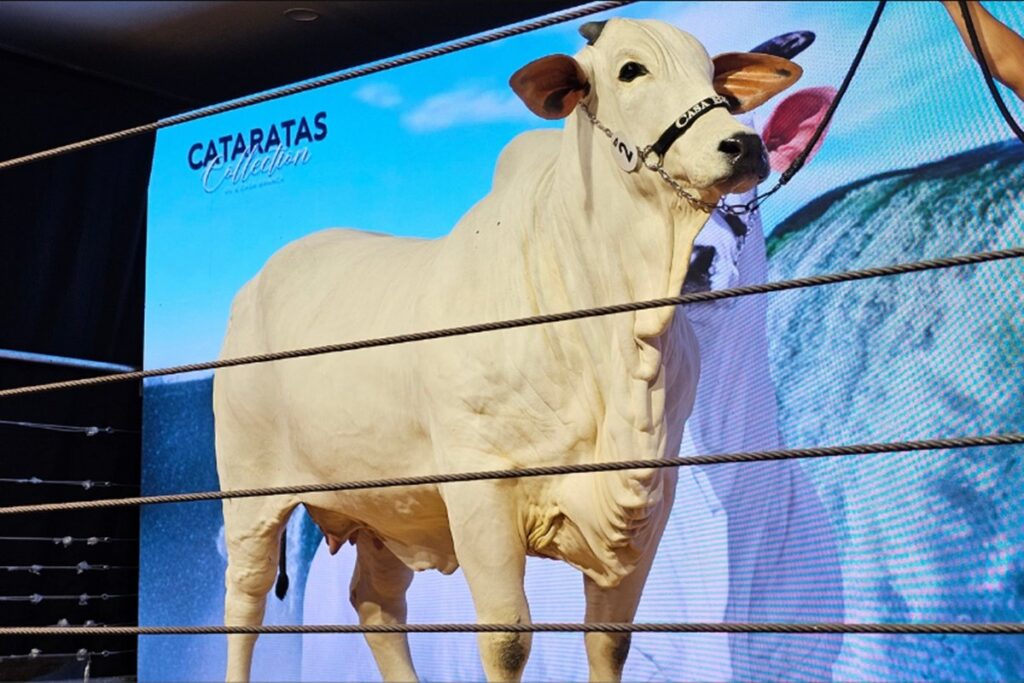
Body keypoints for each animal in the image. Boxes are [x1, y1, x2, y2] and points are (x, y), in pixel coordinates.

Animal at [213, 17, 800, 682]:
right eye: (630, 70)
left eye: (713, 76)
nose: (742, 144)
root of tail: (256, 283)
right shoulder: (482, 492)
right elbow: (507, 639)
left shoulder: (651, 501)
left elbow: (609, 642)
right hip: (249, 494)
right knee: (245, 603)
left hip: (390, 505)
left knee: (376, 604)